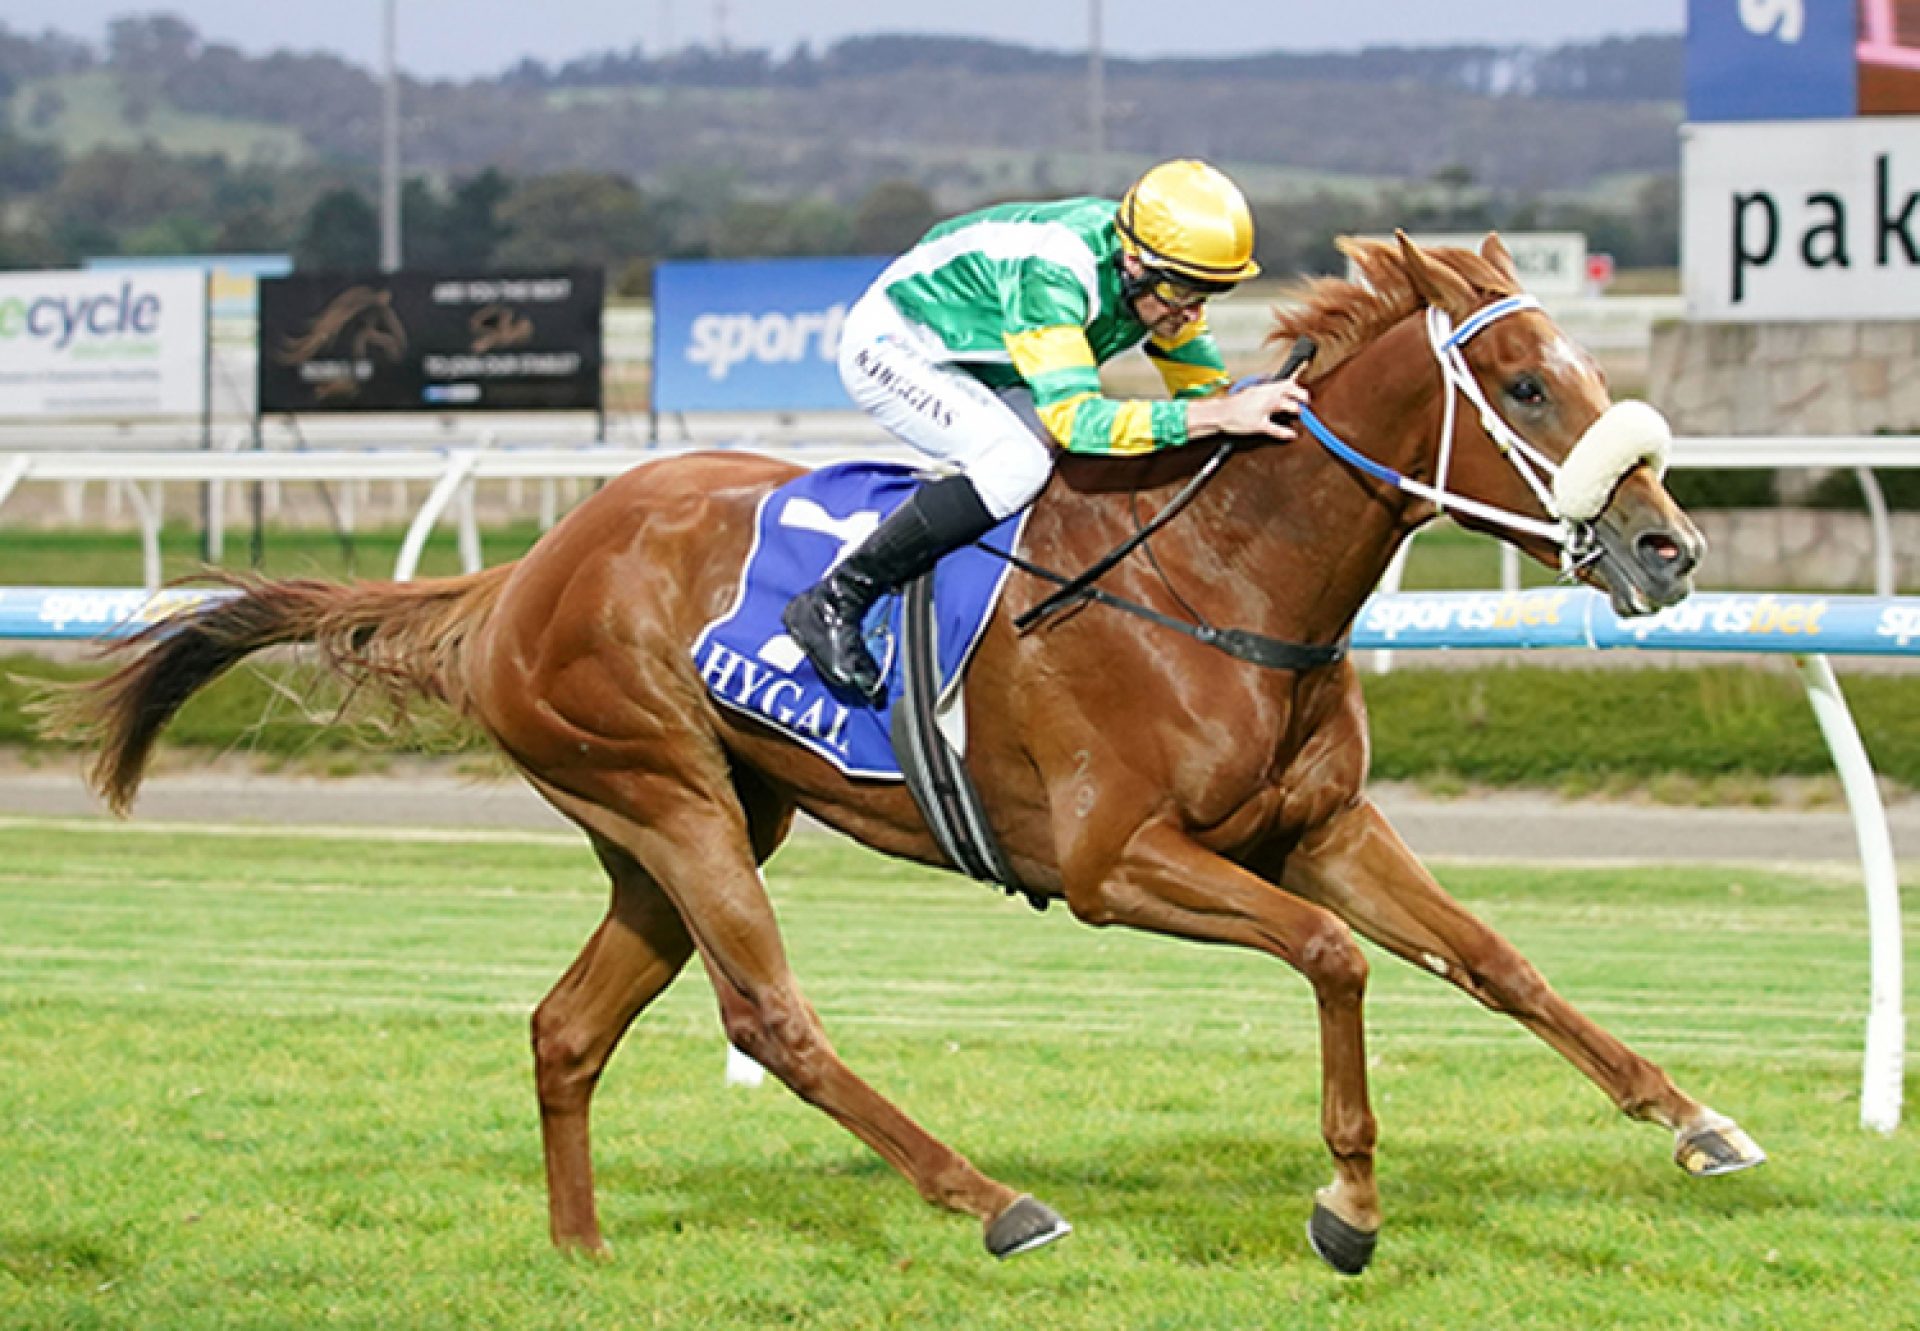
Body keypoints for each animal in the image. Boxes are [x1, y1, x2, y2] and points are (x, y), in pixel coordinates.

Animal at [52, 233, 1766, 1275]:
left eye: (1585, 371)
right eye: (1531, 384)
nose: (1670, 548)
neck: (1219, 579)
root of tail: (524, 568)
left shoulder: (1322, 825)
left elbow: (1494, 958)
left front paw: (1697, 1120)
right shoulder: (1114, 863)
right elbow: (1337, 958)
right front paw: (1345, 1205)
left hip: (667, 825)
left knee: (564, 1025)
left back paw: (584, 1252)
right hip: (671, 794)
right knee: (773, 1015)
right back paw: (991, 1199)